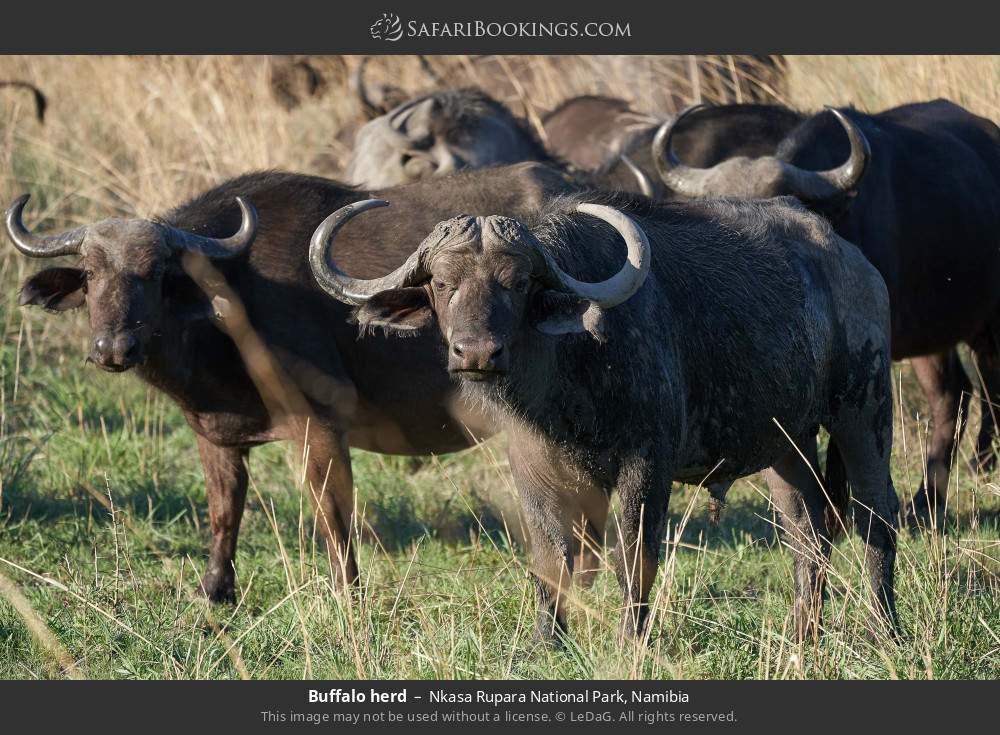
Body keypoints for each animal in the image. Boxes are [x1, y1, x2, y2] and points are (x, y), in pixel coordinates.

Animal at [310, 191, 900, 644]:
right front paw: (548, 639)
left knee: (876, 516)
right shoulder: (532, 468)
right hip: (784, 444)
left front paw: (629, 638)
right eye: (440, 283)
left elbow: (633, 556)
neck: (568, 379)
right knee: (807, 529)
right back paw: (801, 635)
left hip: (864, 413)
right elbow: (551, 557)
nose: (476, 353)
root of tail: (856, 263)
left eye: (518, 283)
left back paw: (884, 630)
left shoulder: (647, 465)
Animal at [652, 100, 1000, 520]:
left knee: (990, 385)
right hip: (932, 337)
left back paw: (979, 465)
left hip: (989, 325)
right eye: (713, 203)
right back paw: (925, 502)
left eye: (774, 197)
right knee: (953, 396)